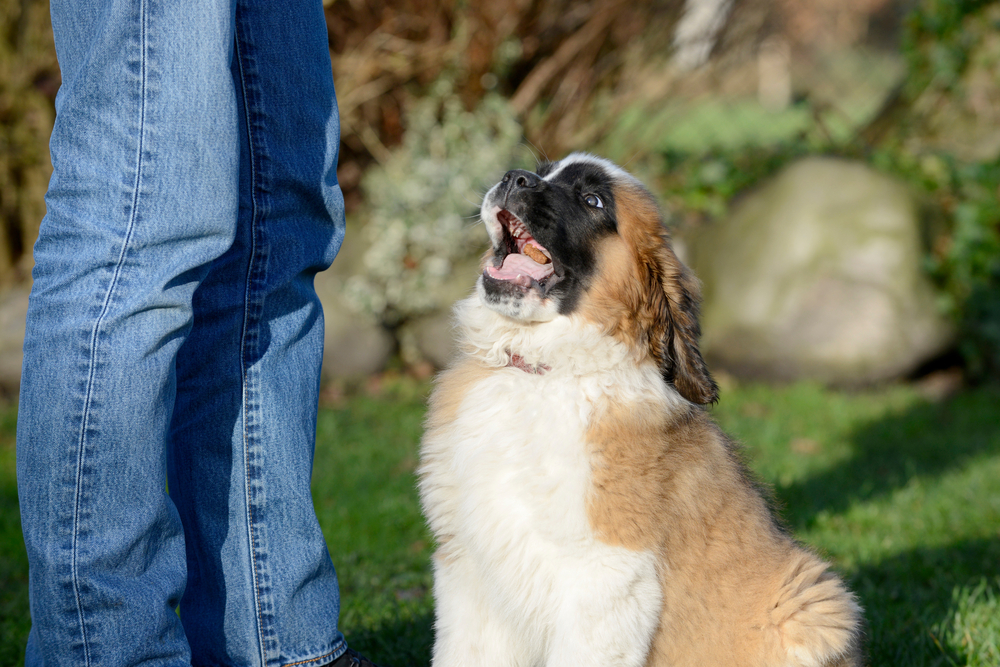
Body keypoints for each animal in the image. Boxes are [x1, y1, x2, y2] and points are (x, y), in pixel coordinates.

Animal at [418, 155, 864, 667]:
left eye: (593, 200)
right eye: (542, 169)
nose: (514, 177)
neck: (539, 372)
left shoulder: (604, 573)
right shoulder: (467, 565)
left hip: (813, 602)